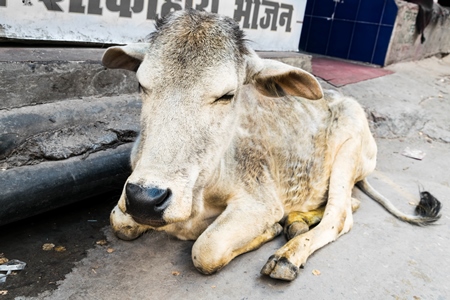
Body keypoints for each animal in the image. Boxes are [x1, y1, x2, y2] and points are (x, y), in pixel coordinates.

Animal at [100, 9, 442, 282]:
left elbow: (206, 249)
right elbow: (119, 221)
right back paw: (296, 222)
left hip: (349, 152)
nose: (146, 199)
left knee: (341, 216)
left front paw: (268, 231)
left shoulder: (260, 201)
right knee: (350, 204)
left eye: (227, 95)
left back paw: (288, 254)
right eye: (142, 85)